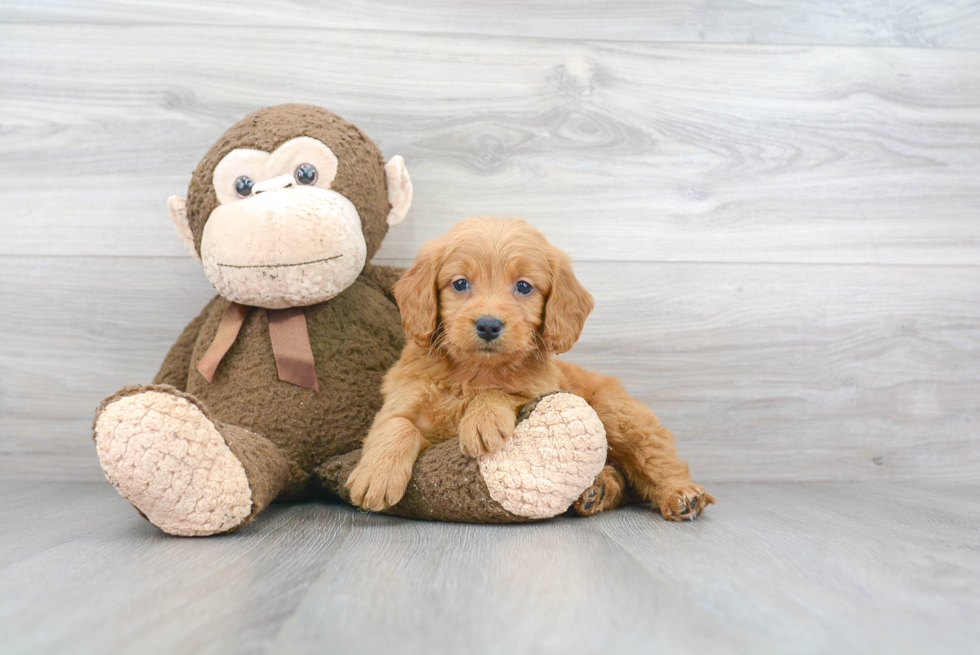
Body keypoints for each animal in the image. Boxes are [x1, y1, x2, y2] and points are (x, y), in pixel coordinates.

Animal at [348, 218, 716, 520]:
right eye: (460, 284)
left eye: (524, 286)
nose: (488, 325)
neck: (475, 371)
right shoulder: (401, 398)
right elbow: (397, 426)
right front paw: (375, 476)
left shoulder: (539, 389)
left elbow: (504, 392)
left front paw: (482, 418)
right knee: (618, 476)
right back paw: (596, 490)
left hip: (617, 413)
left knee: (654, 455)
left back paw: (681, 493)